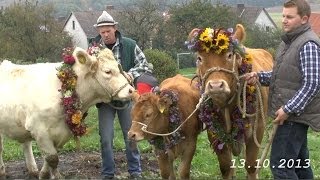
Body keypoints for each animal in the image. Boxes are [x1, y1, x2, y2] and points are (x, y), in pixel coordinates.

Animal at [0, 46, 134, 179]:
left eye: (119, 67)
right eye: (107, 71)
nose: (131, 90)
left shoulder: (59, 132)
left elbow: (50, 158)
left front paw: (44, 174)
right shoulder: (39, 130)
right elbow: (52, 158)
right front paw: (54, 176)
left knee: (26, 144)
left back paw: (32, 170)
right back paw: (2, 171)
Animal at [186, 24, 274, 179]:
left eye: (229, 55)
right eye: (199, 58)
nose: (216, 86)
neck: (226, 105)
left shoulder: (258, 129)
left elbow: (251, 165)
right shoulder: (213, 131)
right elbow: (226, 166)